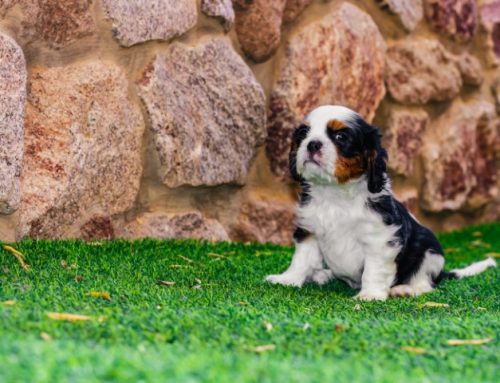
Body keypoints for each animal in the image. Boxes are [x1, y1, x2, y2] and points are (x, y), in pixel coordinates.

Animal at [266, 105, 496, 300]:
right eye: (303, 134)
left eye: (340, 136)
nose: (312, 143)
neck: (335, 193)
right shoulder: (309, 230)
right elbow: (301, 259)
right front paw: (288, 279)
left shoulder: (380, 239)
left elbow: (374, 269)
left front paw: (371, 295)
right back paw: (323, 274)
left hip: (430, 253)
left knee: (426, 283)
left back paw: (406, 289)